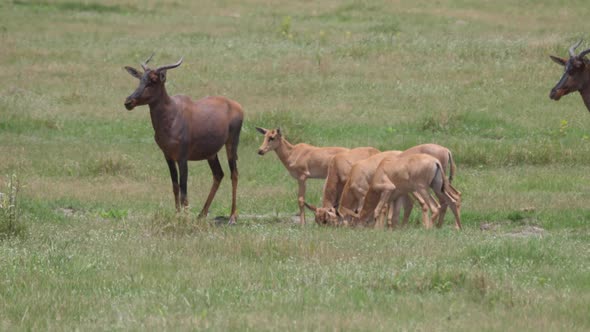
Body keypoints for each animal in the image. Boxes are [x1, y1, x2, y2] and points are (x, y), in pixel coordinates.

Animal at [123, 54, 244, 224]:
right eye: (140, 78)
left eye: (153, 80)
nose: (129, 102)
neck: (172, 114)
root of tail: (236, 105)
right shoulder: (168, 156)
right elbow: (175, 186)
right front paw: (177, 215)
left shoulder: (182, 158)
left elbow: (184, 187)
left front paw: (185, 218)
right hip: (211, 154)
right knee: (218, 174)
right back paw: (201, 214)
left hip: (232, 144)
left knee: (234, 174)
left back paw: (232, 216)